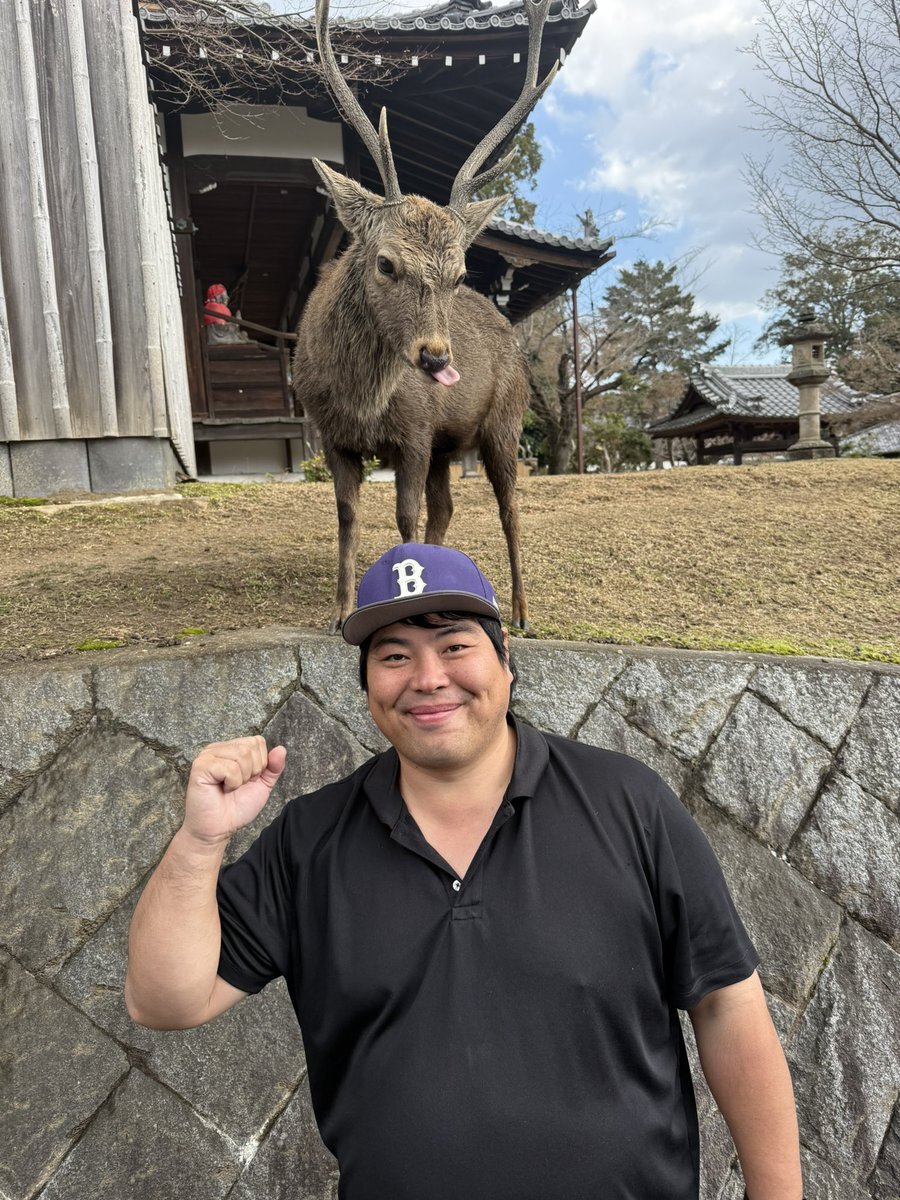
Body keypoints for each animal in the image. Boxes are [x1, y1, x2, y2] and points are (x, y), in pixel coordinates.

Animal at [292, 0, 558, 634]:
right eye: (385, 262)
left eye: (459, 273)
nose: (436, 357)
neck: (359, 399)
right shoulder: (333, 434)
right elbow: (348, 516)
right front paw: (339, 611)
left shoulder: (414, 432)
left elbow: (404, 518)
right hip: (447, 444)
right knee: (447, 507)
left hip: (505, 420)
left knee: (509, 507)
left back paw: (522, 611)